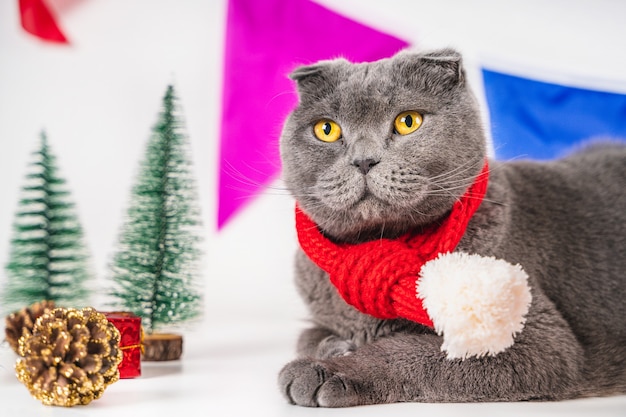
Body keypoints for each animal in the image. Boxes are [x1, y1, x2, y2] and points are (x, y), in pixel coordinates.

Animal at [276, 46, 624, 406]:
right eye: (326, 129)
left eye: (408, 121)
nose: (364, 160)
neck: (379, 240)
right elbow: (307, 333)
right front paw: (333, 347)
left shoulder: (539, 342)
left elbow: (406, 351)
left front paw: (326, 370)